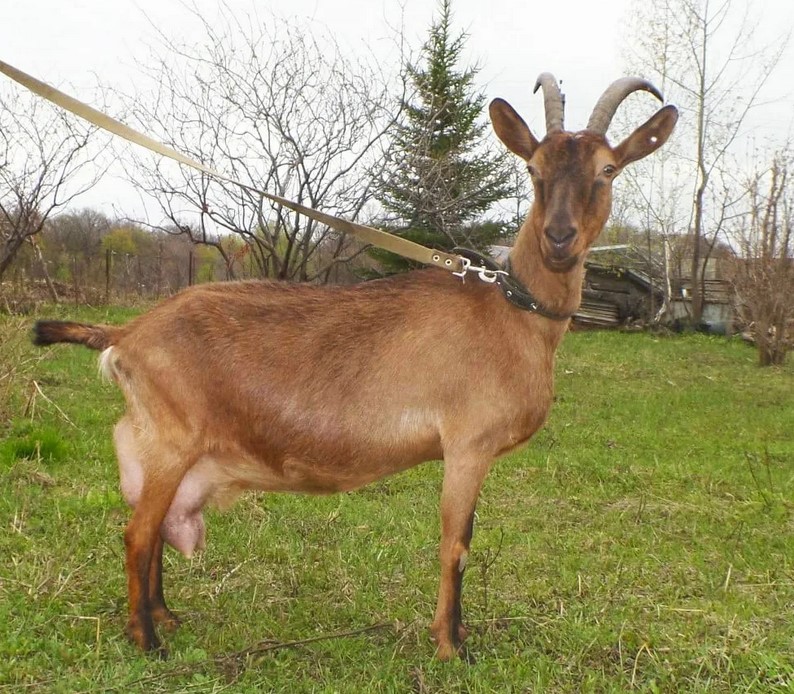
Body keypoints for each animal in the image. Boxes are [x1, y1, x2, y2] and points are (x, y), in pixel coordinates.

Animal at [32, 73, 677, 660]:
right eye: (534, 171)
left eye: (608, 170)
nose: (559, 238)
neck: (511, 311)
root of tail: (127, 333)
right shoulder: (467, 444)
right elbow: (456, 543)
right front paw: (451, 646)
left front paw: (457, 637)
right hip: (172, 438)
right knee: (138, 533)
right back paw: (147, 641)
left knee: (157, 526)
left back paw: (166, 618)